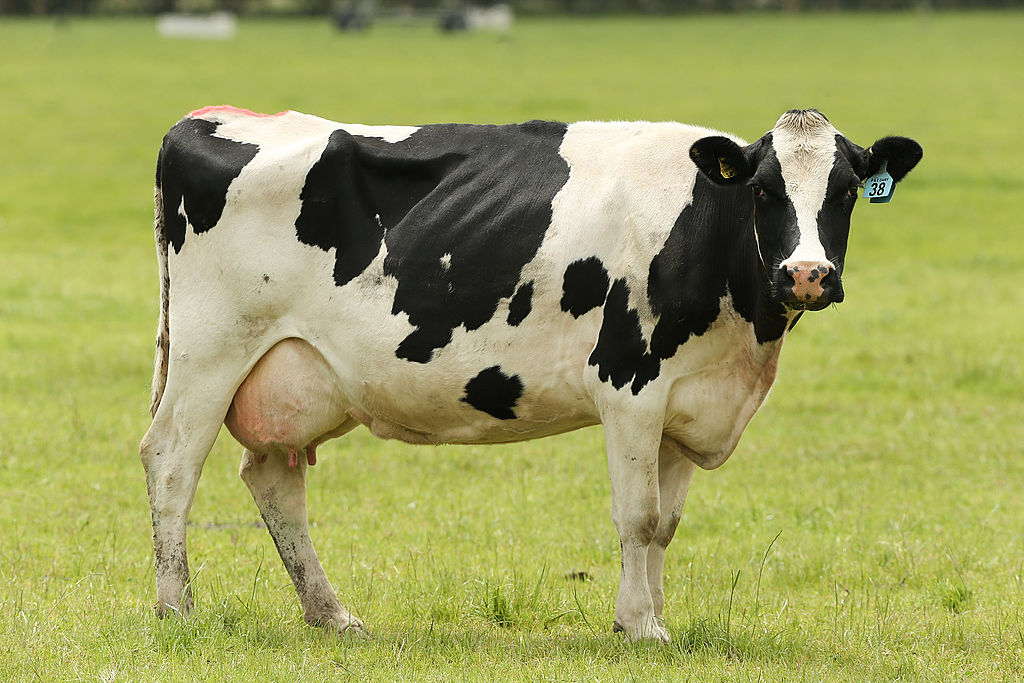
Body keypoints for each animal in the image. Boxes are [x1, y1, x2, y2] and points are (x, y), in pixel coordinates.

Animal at [138, 105, 921, 643]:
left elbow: (666, 524)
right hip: (210, 353)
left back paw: (331, 613)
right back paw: (176, 607)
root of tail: (210, 118)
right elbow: (637, 516)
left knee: (274, 479)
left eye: (847, 190)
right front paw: (639, 625)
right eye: (763, 190)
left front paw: (655, 615)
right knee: (171, 460)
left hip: (295, 375)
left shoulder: (687, 401)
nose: (807, 273)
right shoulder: (630, 386)